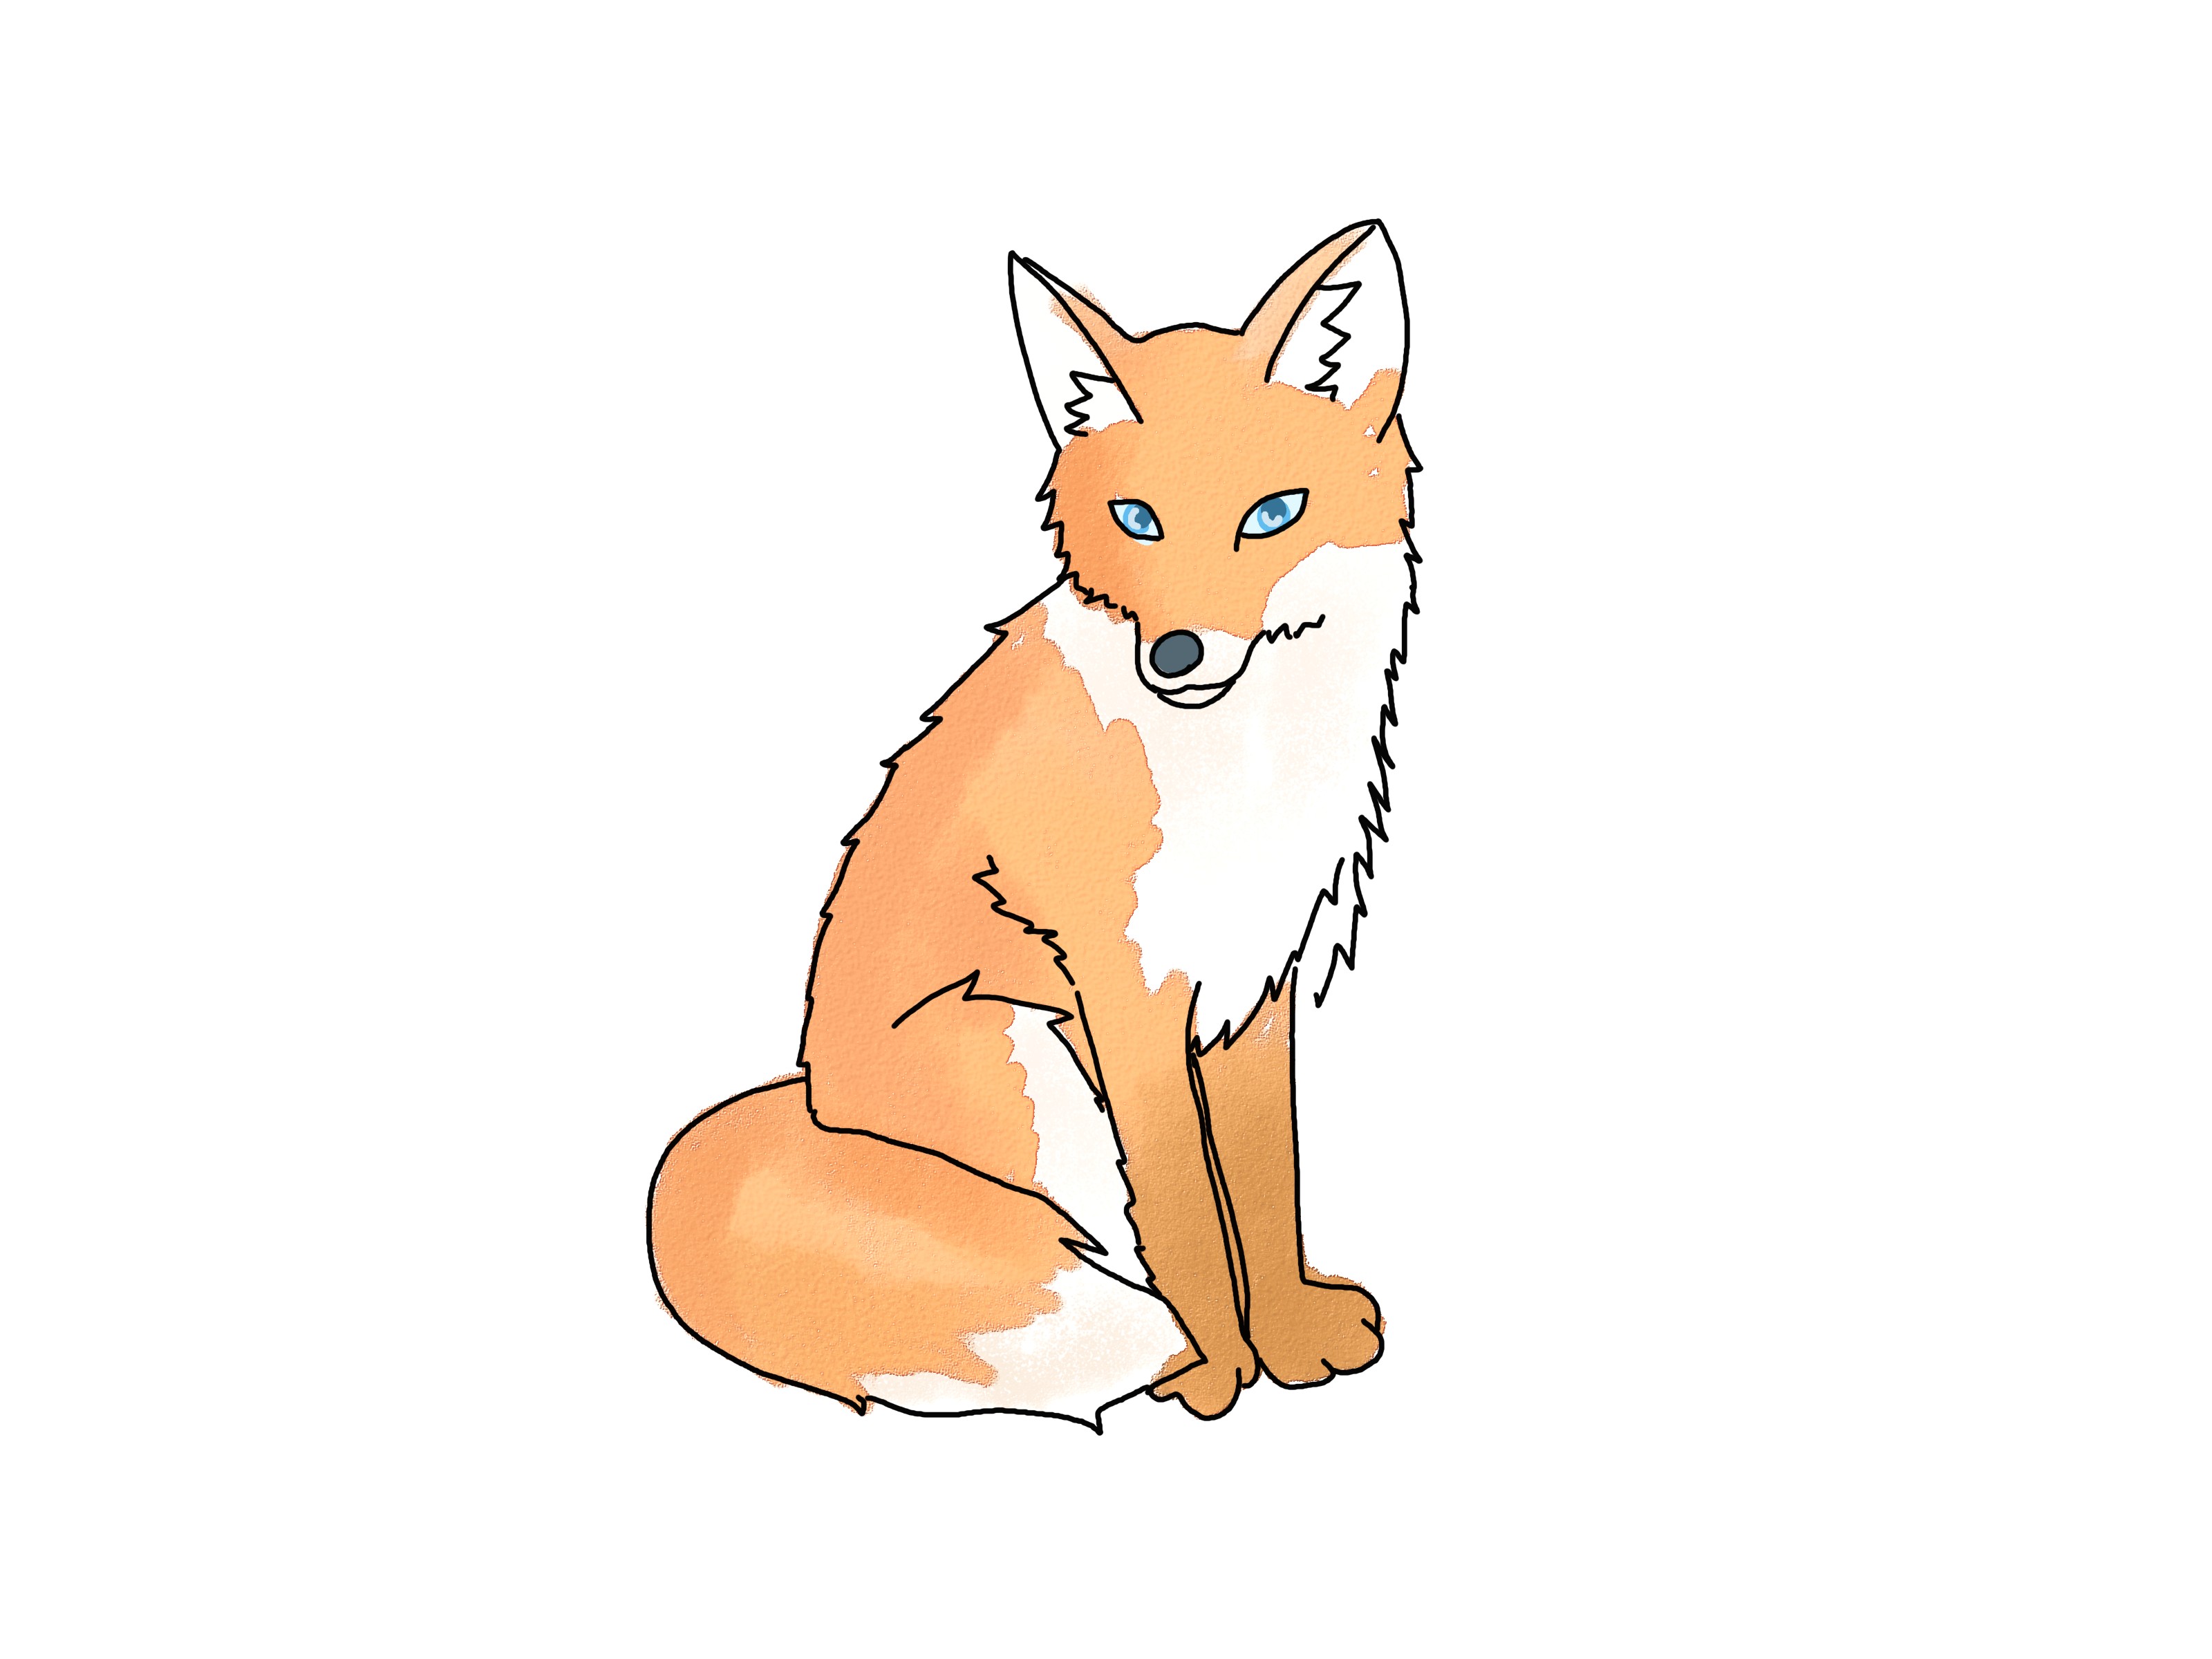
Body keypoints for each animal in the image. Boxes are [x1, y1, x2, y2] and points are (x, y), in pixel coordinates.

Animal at [648, 221, 1420, 1427]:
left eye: (1272, 514)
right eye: (1137, 520)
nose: (1177, 656)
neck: (1245, 767)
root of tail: (811, 1105)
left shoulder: (1255, 981)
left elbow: (1263, 1182)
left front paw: (1290, 1338)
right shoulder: (1125, 987)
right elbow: (1186, 1210)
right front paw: (1220, 1364)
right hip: (1031, 1051)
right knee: (1106, 1238)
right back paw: (1169, 1357)